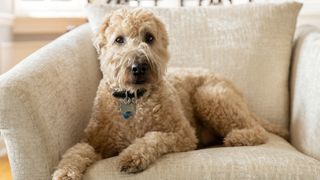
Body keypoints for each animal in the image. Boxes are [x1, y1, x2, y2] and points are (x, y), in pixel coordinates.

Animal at [52, 7, 288, 179]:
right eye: (119, 39)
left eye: (149, 38)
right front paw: (65, 172)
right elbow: (75, 151)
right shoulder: (92, 141)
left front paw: (132, 155)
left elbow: (153, 137)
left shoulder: (183, 135)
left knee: (258, 130)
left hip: (209, 96)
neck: (134, 98)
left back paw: (236, 137)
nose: (139, 67)